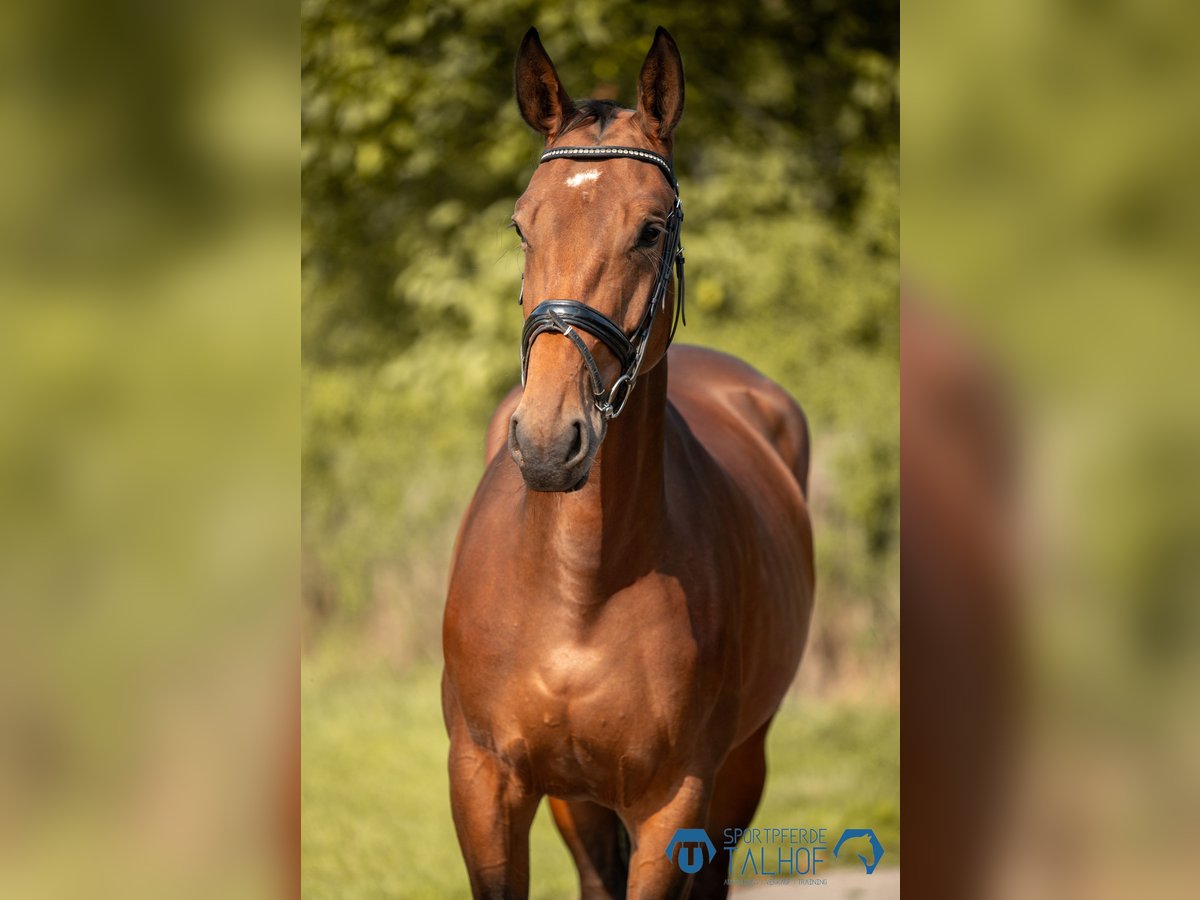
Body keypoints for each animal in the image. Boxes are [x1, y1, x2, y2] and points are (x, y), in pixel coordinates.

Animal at [441, 28, 816, 900]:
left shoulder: (673, 801)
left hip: (740, 768)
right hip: (575, 798)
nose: (550, 442)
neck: (581, 584)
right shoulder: (484, 782)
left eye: (649, 229)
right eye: (522, 225)